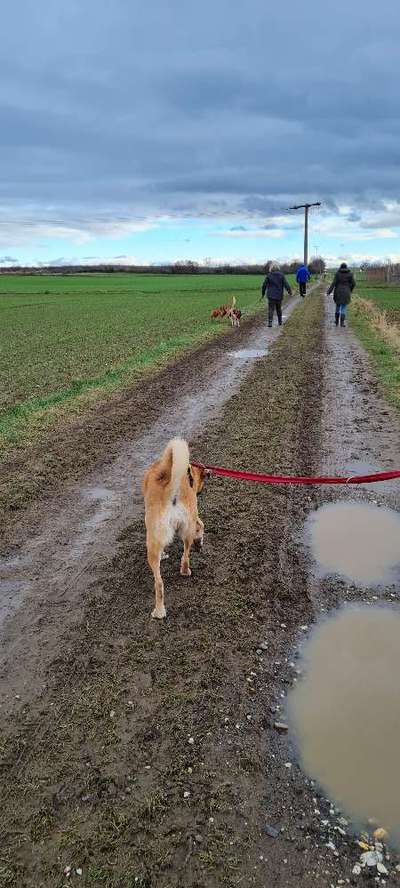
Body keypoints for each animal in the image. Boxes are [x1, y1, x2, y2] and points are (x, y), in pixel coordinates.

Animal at [141, 438, 209, 616]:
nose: (200, 491)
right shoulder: (194, 515)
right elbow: (201, 524)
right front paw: (200, 541)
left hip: (157, 537)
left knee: (162, 579)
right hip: (183, 529)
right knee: (183, 557)